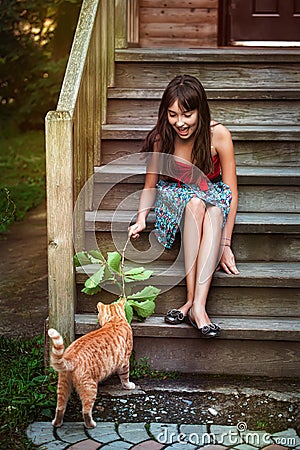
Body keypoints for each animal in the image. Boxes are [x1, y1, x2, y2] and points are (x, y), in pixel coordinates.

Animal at [47, 298, 135, 428]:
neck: (114, 320)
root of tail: (70, 357)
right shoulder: (124, 362)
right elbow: (125, 377)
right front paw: (128, 385)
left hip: (63, 386)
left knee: (60, 407)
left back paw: (57, 423)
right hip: (90, 388)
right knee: (85, 410)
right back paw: (91, 424)